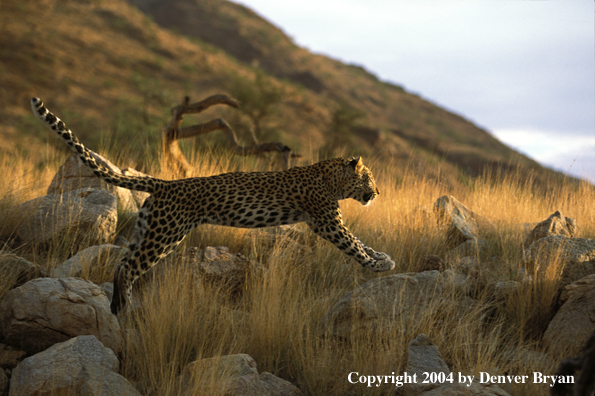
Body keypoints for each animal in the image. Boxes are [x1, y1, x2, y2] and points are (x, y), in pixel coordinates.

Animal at [31, 97, 396, 314]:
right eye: (369, 178)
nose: (378, 192)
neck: (333, 178)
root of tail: (164, 183)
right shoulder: (327, 222)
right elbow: (354, 245)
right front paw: (378, 266)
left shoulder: (329, 221)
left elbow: (361, 241)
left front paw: (382, 257)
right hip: (166, 235)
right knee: (130, 267)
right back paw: (128, 307)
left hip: (147, 228)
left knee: (123, 262)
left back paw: (120, 305)